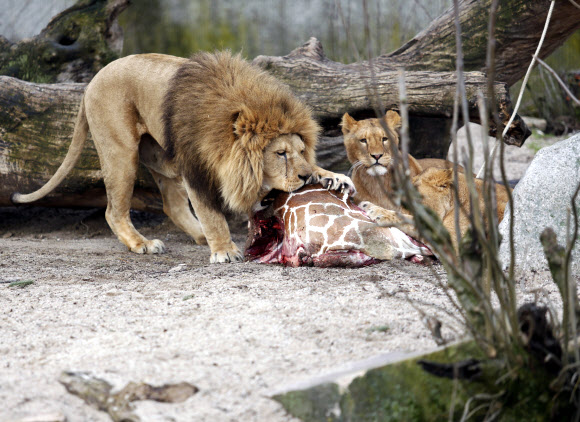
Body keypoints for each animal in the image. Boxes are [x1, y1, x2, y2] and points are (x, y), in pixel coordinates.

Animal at [12, 51, 354, 262]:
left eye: (301, 151)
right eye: (280, 153)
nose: (305, 177)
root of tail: (89, 84)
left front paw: (334, 178)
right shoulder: (196, 168)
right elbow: (212, 213)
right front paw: (224, 250)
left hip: (162, 158)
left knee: (171, 205)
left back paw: (198, 236)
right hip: (121, 152)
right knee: (114, 211)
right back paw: (143, 244)